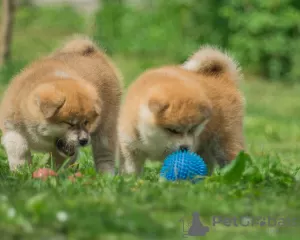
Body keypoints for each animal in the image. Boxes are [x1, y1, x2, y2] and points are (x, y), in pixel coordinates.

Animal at [0, 35, 123, 172]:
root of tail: (92, 51)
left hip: (106, 130)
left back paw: (105, 175)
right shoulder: (12, 129)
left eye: (86, 122)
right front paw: (21, 172)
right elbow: (19, 151)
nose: (84, 140)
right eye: (69, 123)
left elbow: (59, 162)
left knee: (105, 155)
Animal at [118, 46, 245, 175]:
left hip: (225, 142)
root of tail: (225, 79)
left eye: (193, 129)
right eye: (172, 130)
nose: (185, 147)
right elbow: (132, 171)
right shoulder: (130, 149)